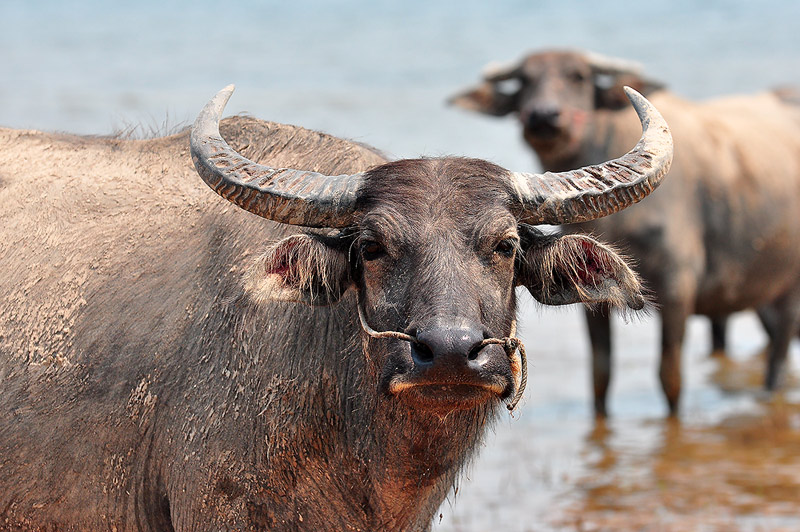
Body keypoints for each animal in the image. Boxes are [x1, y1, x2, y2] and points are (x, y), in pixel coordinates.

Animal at [450, 48, 800, 416]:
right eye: (524, 80)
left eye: (578, 76)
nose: (543, 116)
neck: (616, 225)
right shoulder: (594, 298)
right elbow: (600, 373)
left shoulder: (678, 288)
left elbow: (670, 376)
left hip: (788, 291)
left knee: (779, 354)